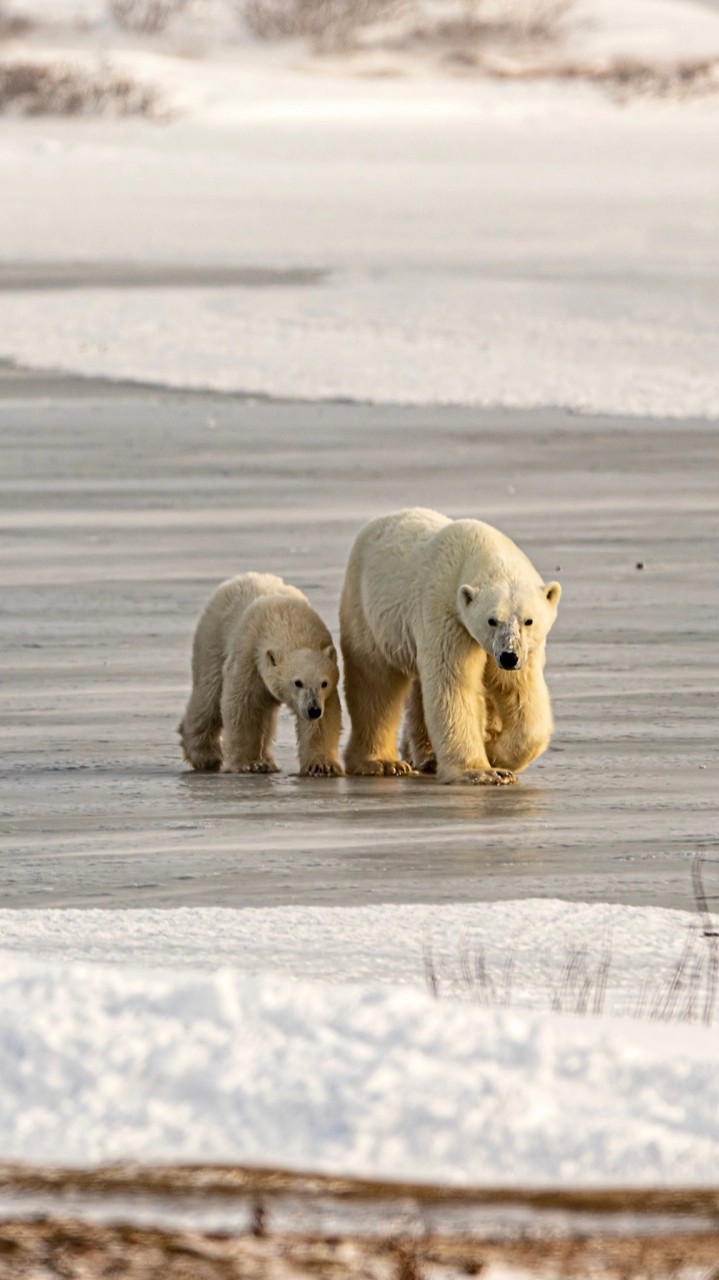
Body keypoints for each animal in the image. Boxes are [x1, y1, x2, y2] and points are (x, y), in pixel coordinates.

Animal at [179, 572, 343, 777]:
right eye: (297, 682)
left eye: (324, 683)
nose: (313, 710)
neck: (287, 621)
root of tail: (240, 578)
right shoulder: (249, 655)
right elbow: (243, 705)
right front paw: (251, 764)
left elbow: (325, 718)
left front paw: (321, 766)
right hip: (213, 638)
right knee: (208, 693)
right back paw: (204, 756)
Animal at [339, 508, 561, 785]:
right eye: (492, 620)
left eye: (528, 620)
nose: (509, 657)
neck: (479, 550)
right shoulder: (447, 615)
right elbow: (453, 684)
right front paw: (484, 770)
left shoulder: (524, 651)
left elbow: (519, 691)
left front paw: (496, 753)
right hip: (367, 611)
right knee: (375, 680)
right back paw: (381, 762)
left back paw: (424, 757)